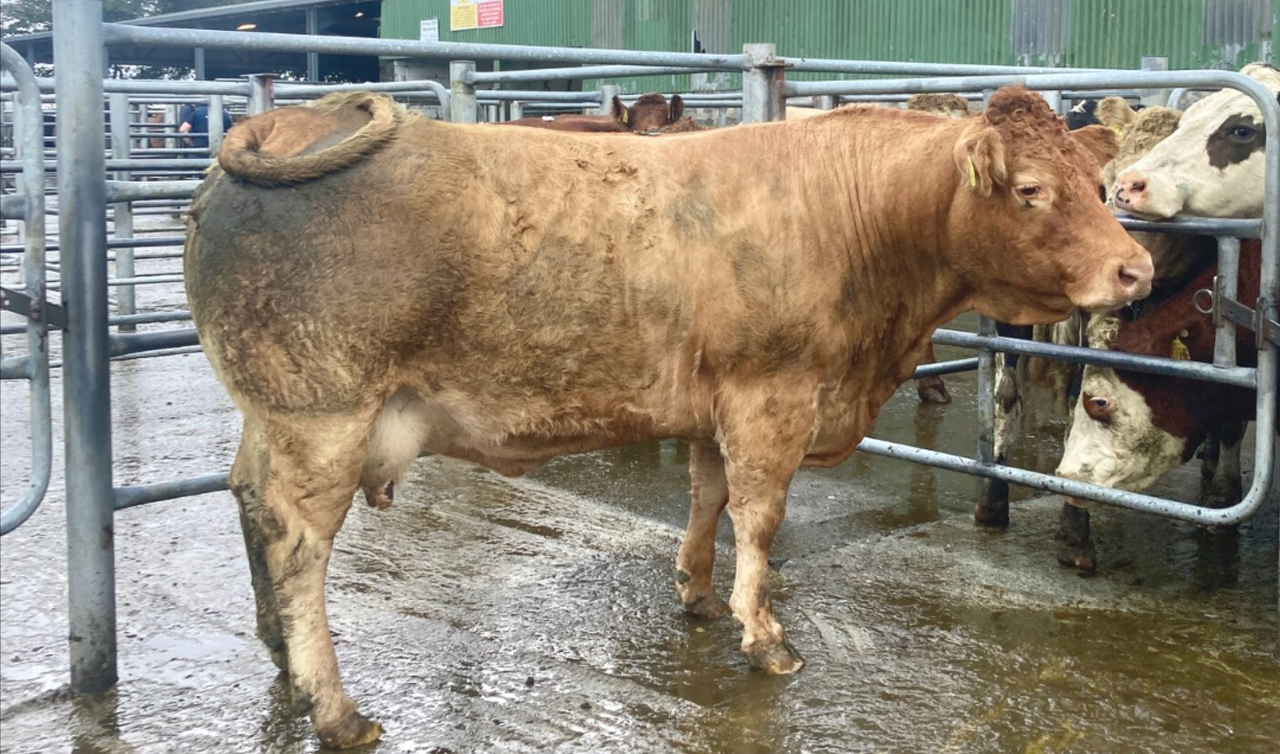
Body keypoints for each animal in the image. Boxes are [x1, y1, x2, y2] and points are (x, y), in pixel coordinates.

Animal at [187, 88, 1152, 748]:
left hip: (272, 418)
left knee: (248, 501)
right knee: (299, 546)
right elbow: (760, 515)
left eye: (1096, 180)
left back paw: (278, 650)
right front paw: (764, 635)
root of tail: (282, 127)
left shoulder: (716, 401)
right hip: (324, 417)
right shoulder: (772, 397)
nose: (1136, 269)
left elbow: (707, 496)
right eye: (1031, 190)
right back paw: (334, 707)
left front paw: (695, 593)